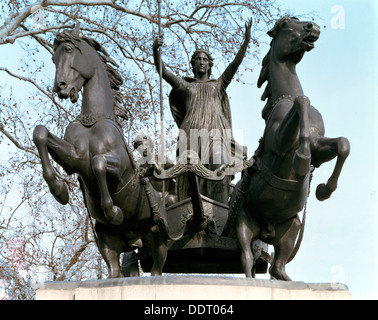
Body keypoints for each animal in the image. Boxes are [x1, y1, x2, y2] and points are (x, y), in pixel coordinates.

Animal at [32, 27, 168, 278]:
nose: (60, 87)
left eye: (68, 50)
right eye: (54, 58)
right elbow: (41, 133)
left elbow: (98, 163)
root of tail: (135, 240)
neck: (92, 121)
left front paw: (113, 211)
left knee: (156, 269)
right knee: (115, 271)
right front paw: (59, 190)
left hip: (156, 239)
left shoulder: (119, 166)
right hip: (107, 241)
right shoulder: (74, 160)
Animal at [233, 16, 352, 280]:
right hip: (244, 225)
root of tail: (265, 229)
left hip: (292, 228)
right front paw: (301, 160)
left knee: (277, 268)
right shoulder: (279, 142)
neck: (284, 98)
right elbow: (302, 101)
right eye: (287, 24)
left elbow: (343, 144)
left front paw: (323, 190)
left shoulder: (321, 148)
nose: (312, 27)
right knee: (247, 260)